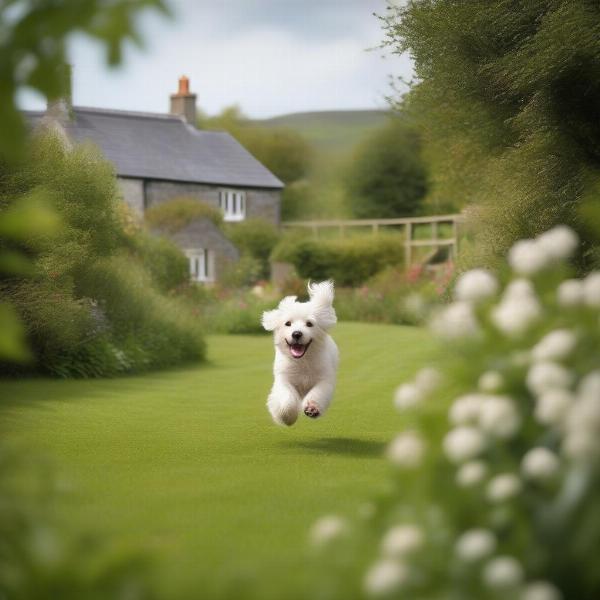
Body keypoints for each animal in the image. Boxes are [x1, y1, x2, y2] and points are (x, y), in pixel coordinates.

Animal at [262, 282, 340, 426]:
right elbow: (286, 397)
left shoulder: (324, 379)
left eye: (309, 324)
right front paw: (287, 415)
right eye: (288, 323)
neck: (302, 361)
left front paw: (312, 408)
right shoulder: (284, 378)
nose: (297, 333)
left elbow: (317, 393)